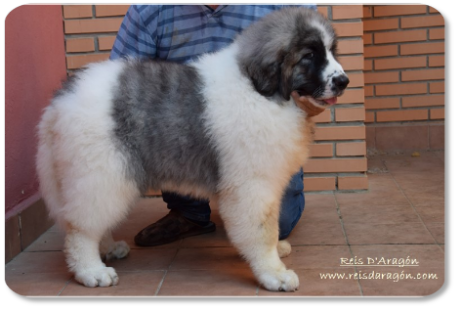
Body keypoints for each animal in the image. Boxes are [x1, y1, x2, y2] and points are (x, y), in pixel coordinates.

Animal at [36, 7, 348, 292]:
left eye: (331, 51)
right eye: (309, 56)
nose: (343, 81)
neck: (261, 91)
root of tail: (60, 100)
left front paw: (277, 250)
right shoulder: (253, 186)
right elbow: (262, 231)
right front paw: (274, 273)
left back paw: (108, 248)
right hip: (101, 173)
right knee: (81, 229)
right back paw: (91, 271)